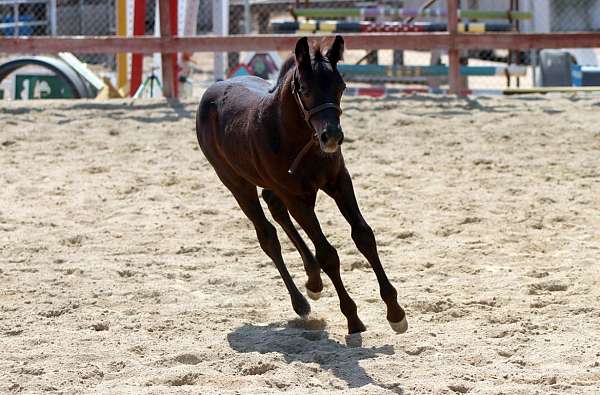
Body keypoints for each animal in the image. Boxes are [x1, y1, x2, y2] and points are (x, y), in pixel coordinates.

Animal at [197, 36, 408, 334]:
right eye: (306, 91)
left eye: (341, 87)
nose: (332, 136)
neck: (295, 137)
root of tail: (212, 90)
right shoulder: (297, 198)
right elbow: (328, 254)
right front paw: (353, 318)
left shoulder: (339, 182)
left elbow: (364, 236)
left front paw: (395, 311)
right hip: (236, 184)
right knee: (268, 235)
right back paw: (300, 302)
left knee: (276, 209)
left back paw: (314, 281)